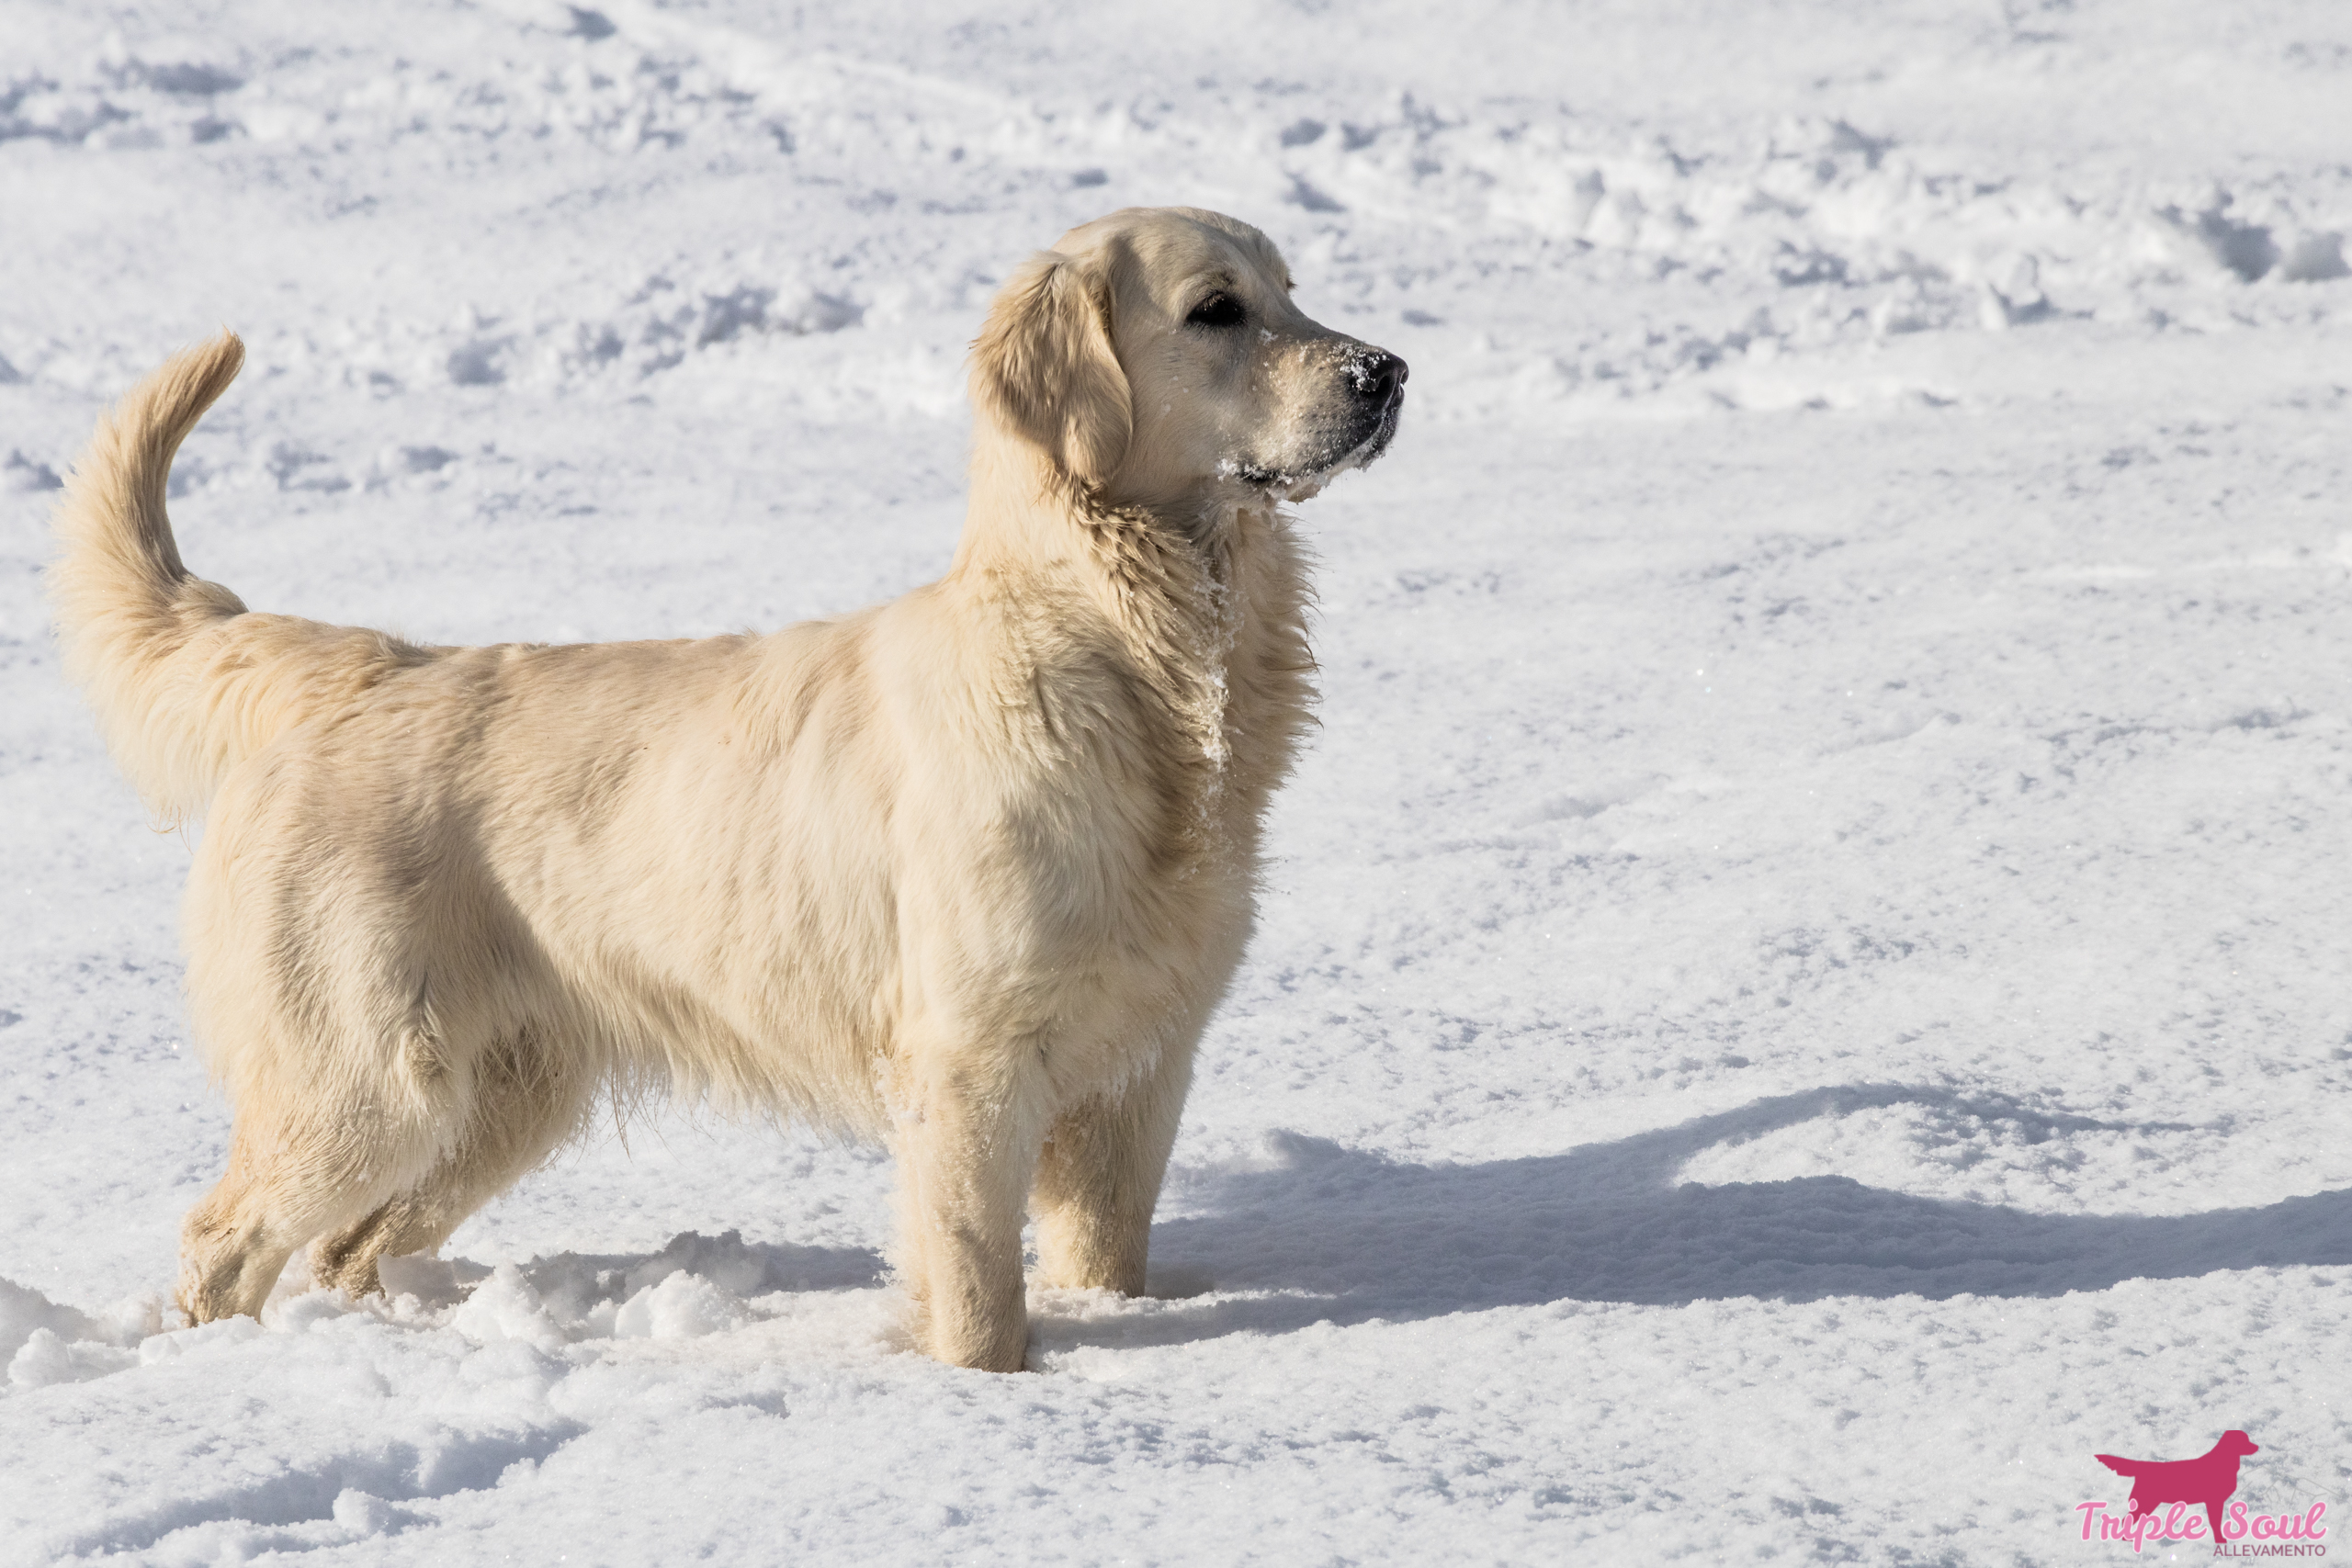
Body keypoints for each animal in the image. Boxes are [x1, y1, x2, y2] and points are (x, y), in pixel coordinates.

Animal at [45, 208, 1401, 1372]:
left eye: (1292, 289)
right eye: (1217, 309)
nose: (1386, 372)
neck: (1123, 655)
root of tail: (370, 665)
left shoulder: (1141, 1070)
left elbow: (1100, 1263)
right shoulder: (969, 1061)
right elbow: (975, 1294)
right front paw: (985, 1399)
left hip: (499, 1097)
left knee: (344, 1246)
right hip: (368, 1080)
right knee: (223, 1238)